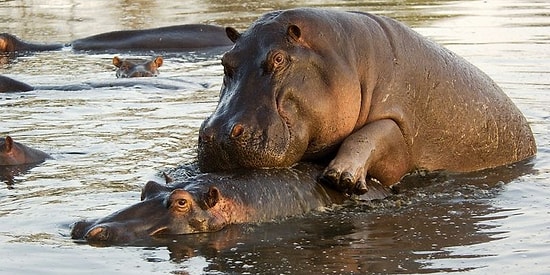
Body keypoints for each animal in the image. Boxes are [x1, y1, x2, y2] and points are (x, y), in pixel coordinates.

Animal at [198, 7, 540, 195]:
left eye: (279, 58)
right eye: (225, 61)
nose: (219, 135)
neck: (345, 58)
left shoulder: (399, 124)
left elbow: (372, 134)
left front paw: (341, 178)